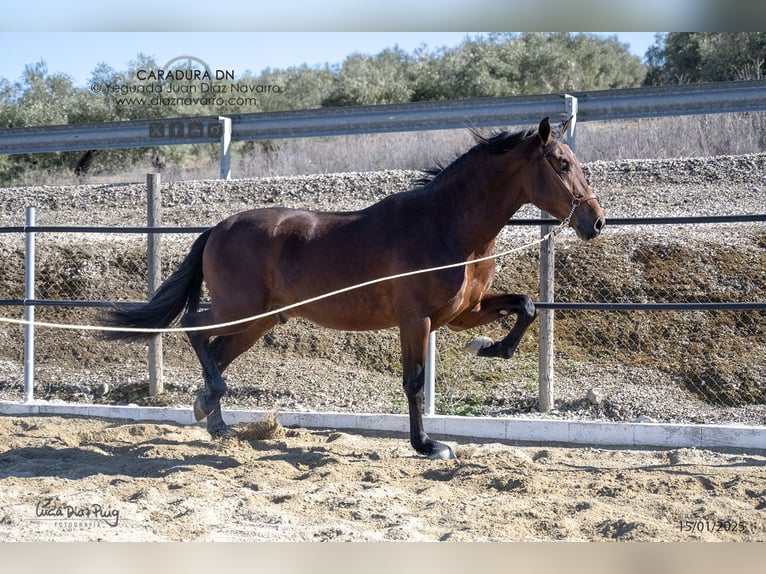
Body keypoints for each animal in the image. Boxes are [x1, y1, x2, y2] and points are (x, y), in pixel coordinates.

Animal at [105, 119, 608, 462]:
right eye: (562, 164)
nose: (596, 222)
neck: (449, 227)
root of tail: (217, 228)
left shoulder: (464, 312)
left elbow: (525, 306)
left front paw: (490, 348)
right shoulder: (416, 319)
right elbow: (413, 381)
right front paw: (428, 445)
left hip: (259, 320)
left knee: (217, 349)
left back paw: (214, 417)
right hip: (240, 308)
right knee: (195, 327)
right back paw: (212, 400)